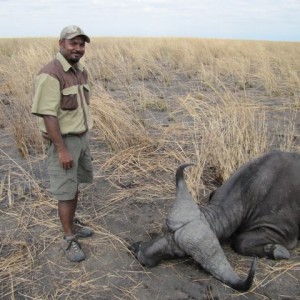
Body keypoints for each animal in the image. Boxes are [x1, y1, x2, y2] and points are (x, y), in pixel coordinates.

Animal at [132, 151, 300, 292]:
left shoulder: (281, 232)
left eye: (179, 253)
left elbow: (240, 241)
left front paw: (275, 250)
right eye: (163, 230)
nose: (140, 253)